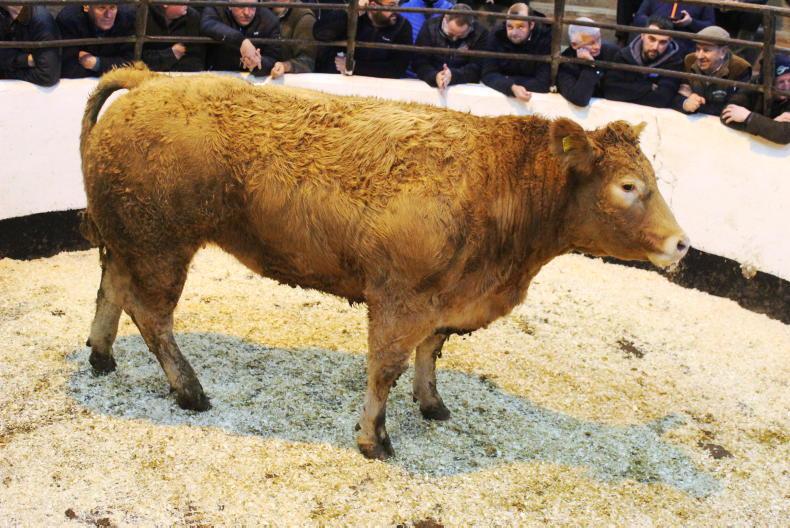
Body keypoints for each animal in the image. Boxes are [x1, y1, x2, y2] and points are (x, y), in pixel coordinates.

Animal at [80, 65, 689, 460]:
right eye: (628, 186)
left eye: (654, 179)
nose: (682, 244)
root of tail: (151, 80)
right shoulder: (400, 297)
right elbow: (386, 367)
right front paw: (374, 437)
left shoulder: (446, 297)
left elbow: (430, 353)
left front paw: (432, 403)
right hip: (160, 245)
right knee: (151, 315)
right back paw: (190, 390)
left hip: (128, 237)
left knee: (110, 288)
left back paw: (102, 357)